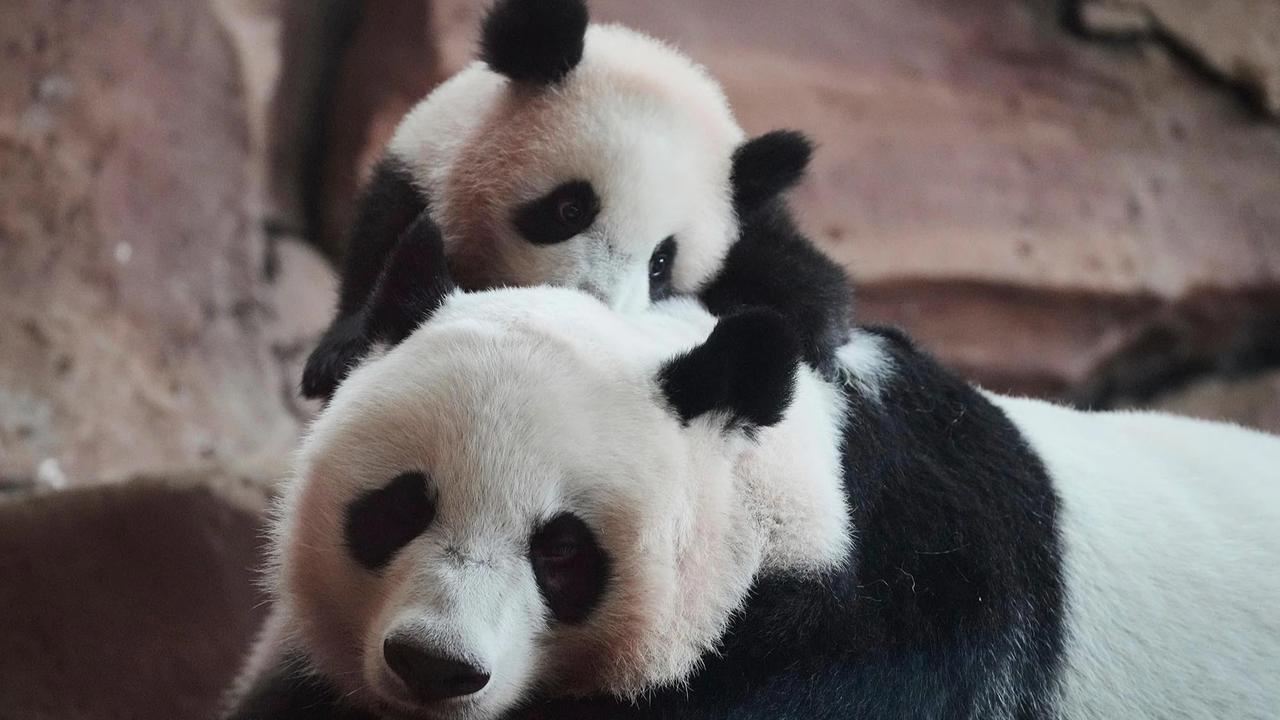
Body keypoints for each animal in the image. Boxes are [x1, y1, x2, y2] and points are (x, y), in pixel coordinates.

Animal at [300, 0, 852, 401]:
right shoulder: (425, 168)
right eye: (570, 209)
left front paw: (812, 345)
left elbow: (801, 277)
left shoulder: (753, 224)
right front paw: (339, 355)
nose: (589, 311)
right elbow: (384, 243)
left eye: (661, 263)